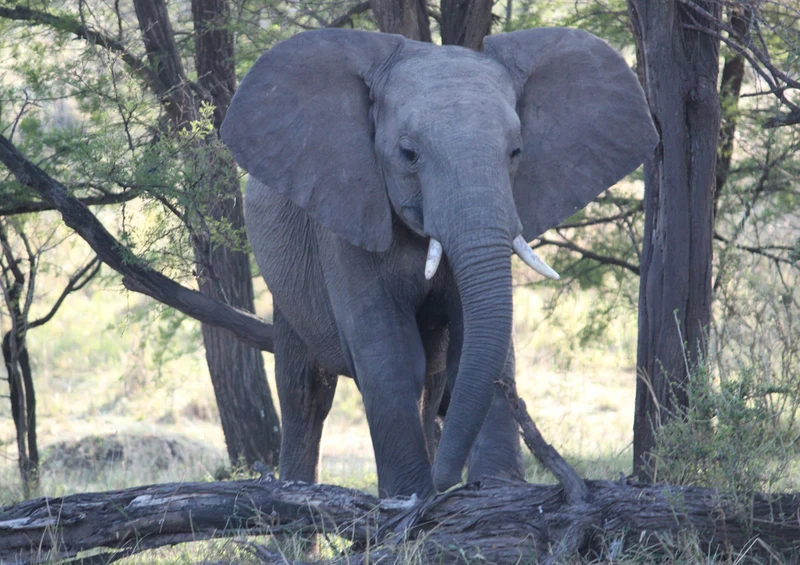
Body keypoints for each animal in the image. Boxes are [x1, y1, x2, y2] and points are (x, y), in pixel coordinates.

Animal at [221, 27, 657, 498]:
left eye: (516, 152)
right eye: (408, 154)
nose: (446, 484)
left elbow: (474, 348)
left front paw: (496, 487)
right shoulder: (347, 215)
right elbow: (389, 356)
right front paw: (411, 497)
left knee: (431, 384)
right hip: (285, 279)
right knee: (306, 393)